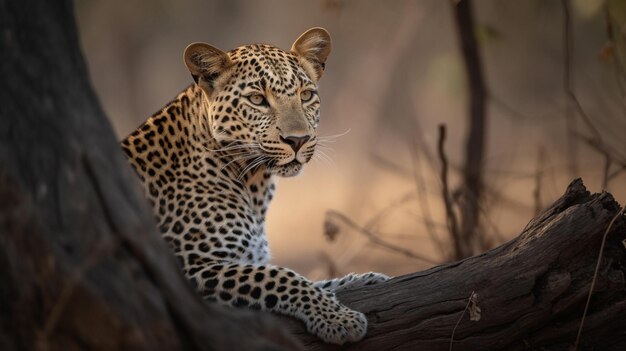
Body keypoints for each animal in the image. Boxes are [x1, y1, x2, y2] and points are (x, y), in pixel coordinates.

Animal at [119, 28, 388, 346]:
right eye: (258, 99)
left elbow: (316, 280)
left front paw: (364, 279)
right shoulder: (187, 269)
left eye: (306, 95)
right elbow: (280, 276)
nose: (297, 140)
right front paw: (337, 318)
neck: (254, 183)